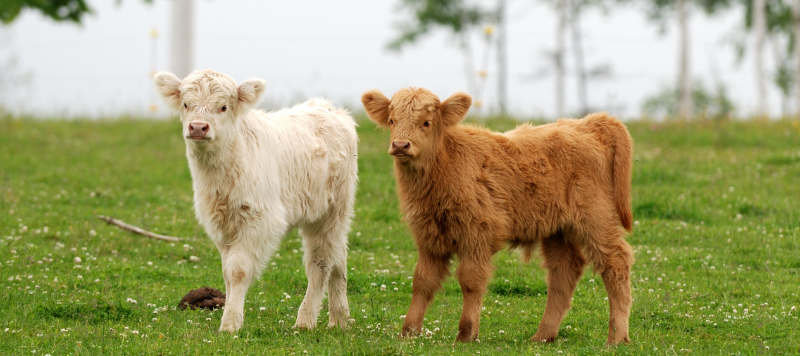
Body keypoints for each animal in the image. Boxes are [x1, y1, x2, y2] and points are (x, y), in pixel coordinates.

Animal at [153, 70, 356, 334]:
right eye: (186, 104)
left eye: (223, 107)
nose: (197, 127)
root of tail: (328, 107)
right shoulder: (222, 225)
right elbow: (227, 272)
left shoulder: (259, 219)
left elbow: (238, 271)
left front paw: (230, 323)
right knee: (338, 257)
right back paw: (339, 319)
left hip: (331, 210)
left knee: (320, 262)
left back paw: (305, 320)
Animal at [364, 87, 636, 346]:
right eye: (391, 120)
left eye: (426, 122)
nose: (400, 145)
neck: (445, 166)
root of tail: (587, 123)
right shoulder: (429, 238)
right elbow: (422, 281)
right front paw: (409, 332)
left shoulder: (478, 235)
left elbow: (470, 280)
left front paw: (466, 334)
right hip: (557, 229)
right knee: (564, 271)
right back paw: (543, 335)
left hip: (596, 219)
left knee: (616, 263)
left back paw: (617, 337)